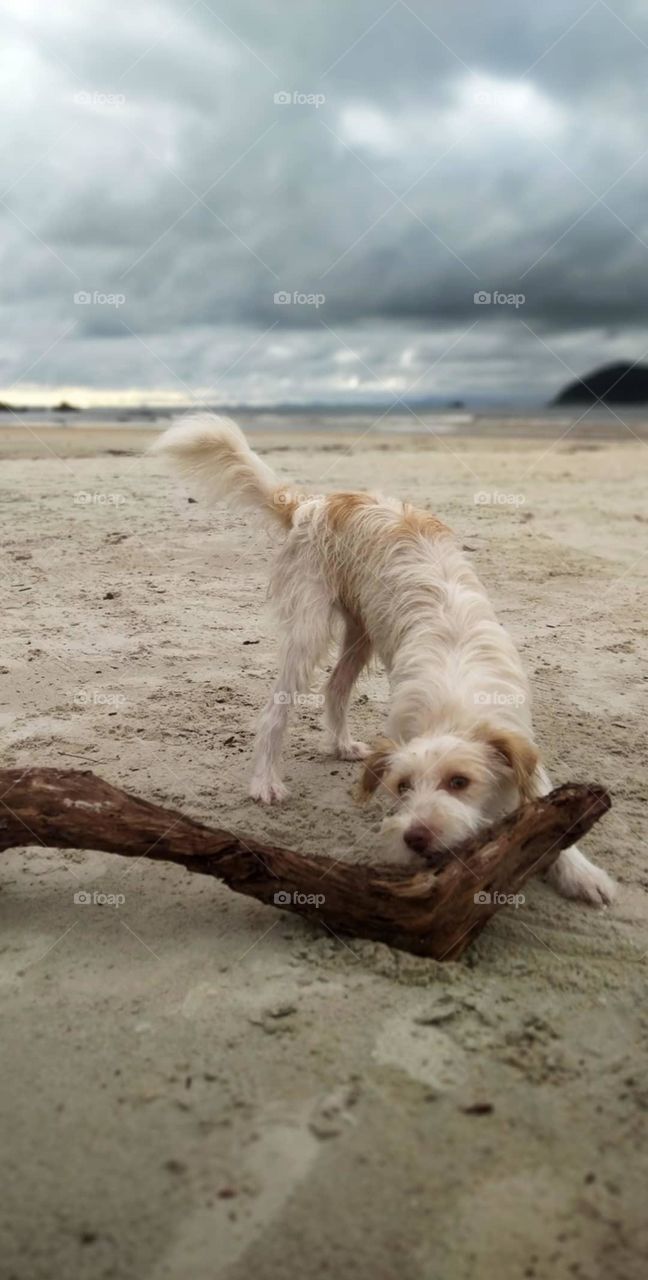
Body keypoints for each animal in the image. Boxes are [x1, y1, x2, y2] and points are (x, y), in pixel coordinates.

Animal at [154, 414, 614, 906]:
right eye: (403, 787)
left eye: (459, 782)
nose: (417, 838)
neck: (453, 704)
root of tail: (315, 502)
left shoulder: (516, 732)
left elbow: (547, 802)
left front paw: (582, 873)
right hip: (309, 630)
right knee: (274, 711)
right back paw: (265, 781)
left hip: (362, 632)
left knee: (335, 687)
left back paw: (340, 744)